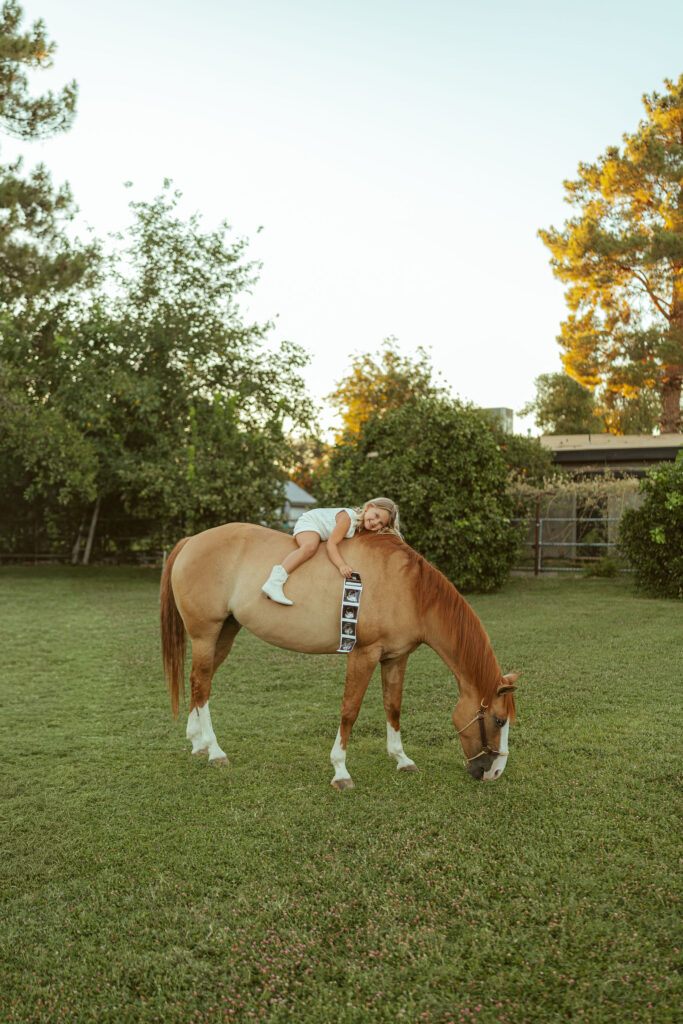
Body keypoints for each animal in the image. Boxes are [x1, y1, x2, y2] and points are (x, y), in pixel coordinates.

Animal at [160, 522, 519, 788]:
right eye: (498, 720)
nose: (494, 773)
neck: (410, 589)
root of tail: (192, 540)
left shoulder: (396, 658)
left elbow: (393, 706)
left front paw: (401, 758)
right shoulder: (364, 654)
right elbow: (350, 710)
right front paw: (341, 770)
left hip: (225, 633)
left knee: (199, 681)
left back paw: (197, 744)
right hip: (205, 634)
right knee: (202, 684)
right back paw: (214, 751)